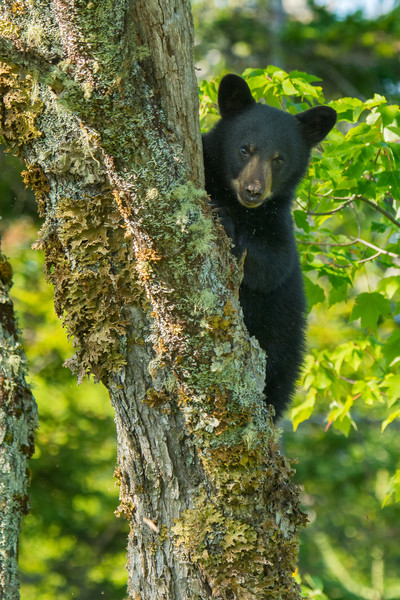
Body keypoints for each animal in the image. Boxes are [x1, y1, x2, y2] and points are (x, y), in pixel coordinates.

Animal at [202, 75, 336, 420]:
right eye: (244, 149)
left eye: (279, 159)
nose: (253, 191)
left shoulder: (277, 221)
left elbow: (273, 265)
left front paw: (225, 221)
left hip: (284, 344)